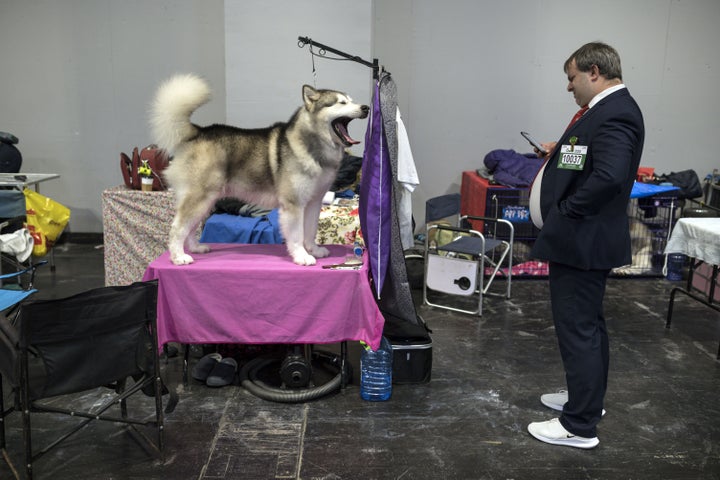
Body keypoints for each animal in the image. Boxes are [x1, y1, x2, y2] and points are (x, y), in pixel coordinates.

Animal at [148, 74, 368, 266]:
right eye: (341, 103)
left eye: (352, 100)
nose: (366, 107)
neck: (314, 147)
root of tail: (198, 132)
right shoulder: (293, 204)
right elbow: (297, 235)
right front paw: (302, 256)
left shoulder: (313, 202)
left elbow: (310, 230)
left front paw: (313, 249)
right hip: (199, 197)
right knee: (177, 228)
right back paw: (178, 257)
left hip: (207, 200)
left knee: (191, 228)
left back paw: (195, 247)